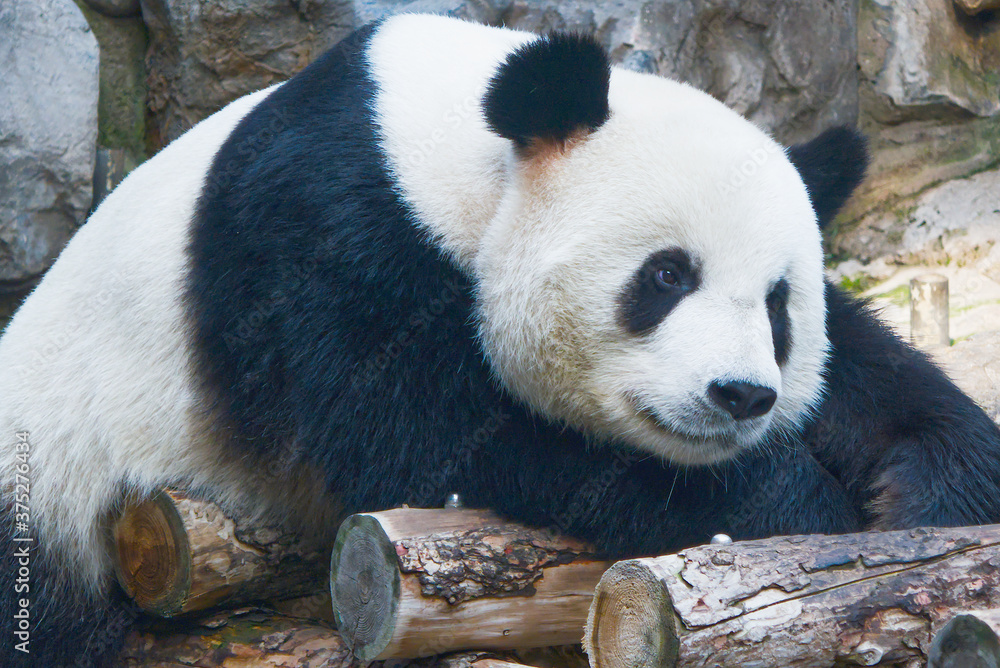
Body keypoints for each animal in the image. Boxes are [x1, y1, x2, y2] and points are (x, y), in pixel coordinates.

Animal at [3, 13, 1000, 665]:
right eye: (666, 276)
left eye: (779, 305)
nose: (741, 396)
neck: (458, 156)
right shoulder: (322, 226)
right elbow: (432, 434)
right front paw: (793, 505)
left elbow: (877, 376)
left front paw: (927, 495)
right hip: (49, 485)